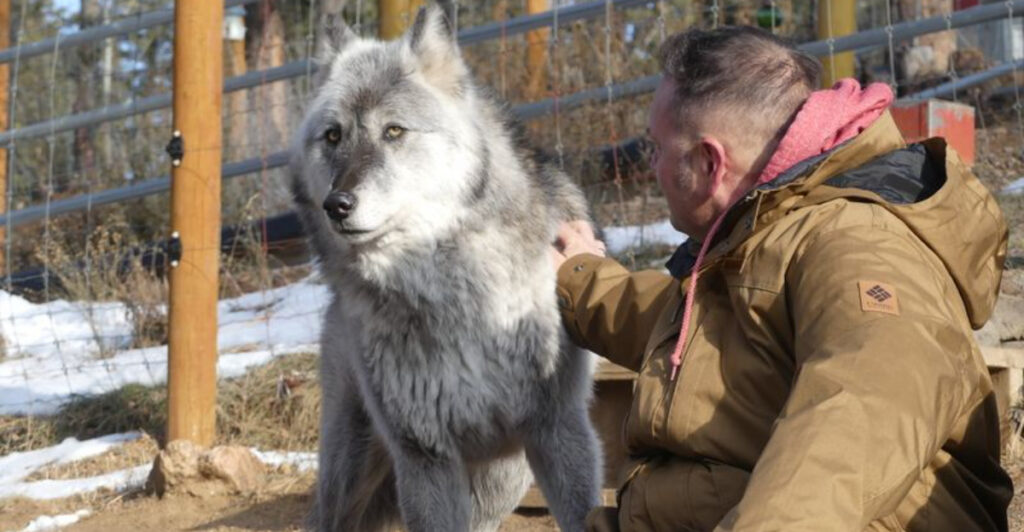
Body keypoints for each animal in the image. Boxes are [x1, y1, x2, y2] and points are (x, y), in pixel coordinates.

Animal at [288, 5, 603, 531]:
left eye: (394, 131)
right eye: (333, 136)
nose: (338, 205)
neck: (452, 294)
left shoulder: (557, 428)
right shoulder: (423, 456)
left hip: (501, 481)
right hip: (349, 470)